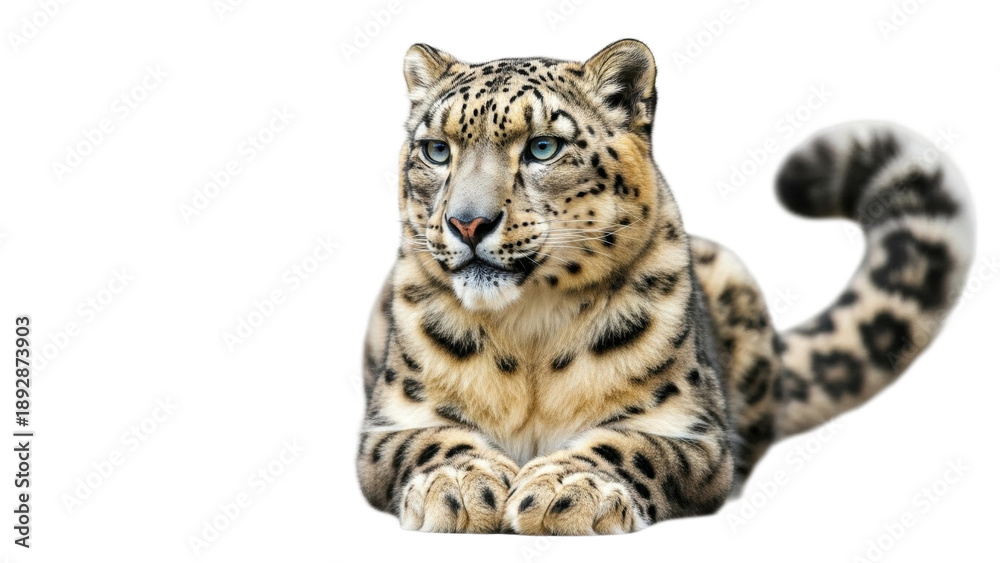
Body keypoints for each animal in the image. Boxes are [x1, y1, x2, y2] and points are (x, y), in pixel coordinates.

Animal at [355, 39, 974, 535]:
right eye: (437, 150)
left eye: (542, 147)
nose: (467, 223)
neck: (529, 327)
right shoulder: (392, 419)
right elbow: (433, 439)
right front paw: (462, 485)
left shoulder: (692, 429)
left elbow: (631, 444)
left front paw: (564, 492)